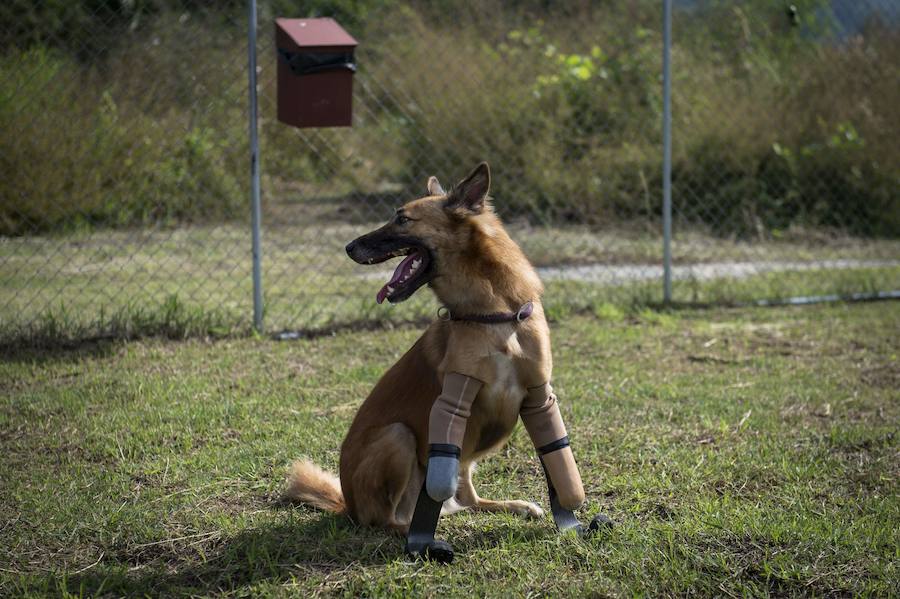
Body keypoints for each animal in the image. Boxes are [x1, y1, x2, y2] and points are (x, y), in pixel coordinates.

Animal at [286, 163, 564, 536]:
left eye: (403, 219)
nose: (348, 246)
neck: (493, 313)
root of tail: (348, 506)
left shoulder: (533, 387)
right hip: (397, 437)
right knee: (388, 519)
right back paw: (418, 528)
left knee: (466, 498)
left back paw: (511, 506)